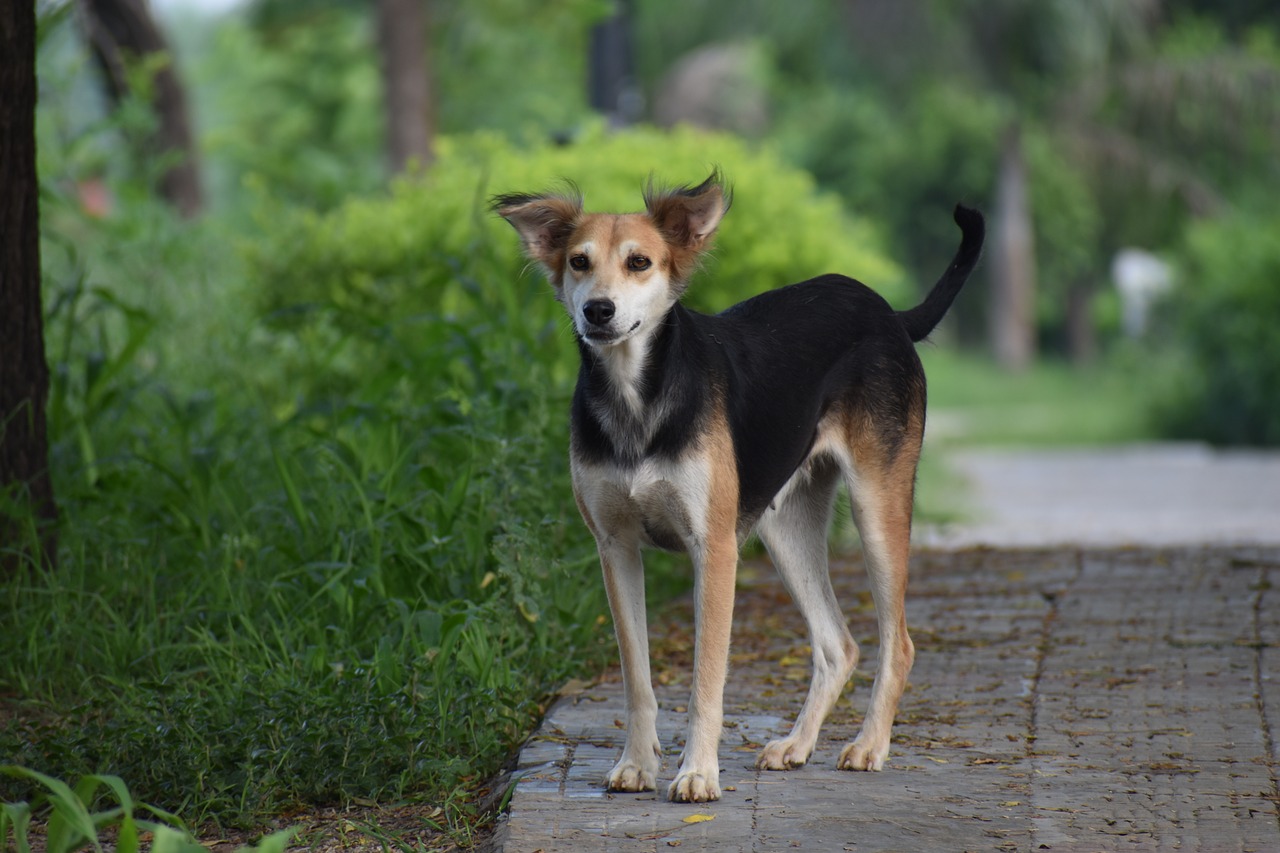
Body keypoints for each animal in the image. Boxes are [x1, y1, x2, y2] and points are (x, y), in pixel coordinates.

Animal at [494, 171, 983, 799]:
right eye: (578, 261)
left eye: (639, 262)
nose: (598, 311)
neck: (637, 398)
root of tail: (889, 313)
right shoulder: (615, 547)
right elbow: (637, 678)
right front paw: (637, 764)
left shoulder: (715, 549)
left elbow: (706, 682)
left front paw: (698, 772)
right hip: (785, 525)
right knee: (838, 645)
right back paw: (796, 744)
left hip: (878, 505)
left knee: (897, 642)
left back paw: (869, 745)